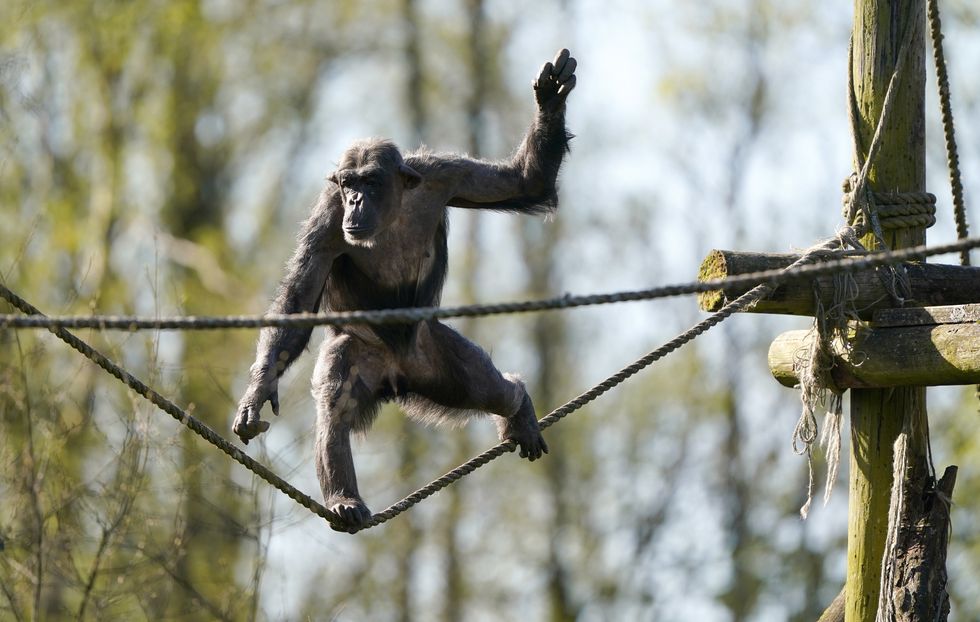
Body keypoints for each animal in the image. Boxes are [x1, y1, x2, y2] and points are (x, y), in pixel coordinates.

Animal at [234, 48, 580, 528]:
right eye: (348, 182)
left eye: (369, 180)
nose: (356, 200)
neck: (391, 208)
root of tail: (397, 378)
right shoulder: (328, 215)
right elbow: (299, 300)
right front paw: (258, 390)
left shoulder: (446, 175)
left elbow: (523, 182)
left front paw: (549, 97)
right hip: (363, 354)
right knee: (338, 398)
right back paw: (344, 499)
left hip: (437, 358)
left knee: (485, 383)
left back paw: (519, 406)